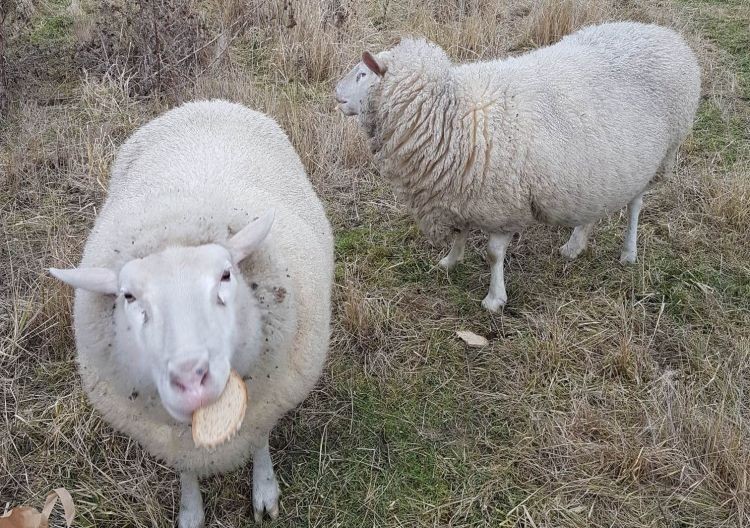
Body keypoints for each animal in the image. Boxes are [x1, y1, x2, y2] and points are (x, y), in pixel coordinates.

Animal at [50, 100, 334, 528]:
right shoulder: (170, 439)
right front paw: (190, 511)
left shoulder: (270, 399)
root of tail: (206, 102)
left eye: (226, 275)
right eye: (129, 296)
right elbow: (185, 471)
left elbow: (261, 440)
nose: (190, 379)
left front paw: (264, 490)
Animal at [334, 22, 700, 312]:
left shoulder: (501, 202)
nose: (335, 92)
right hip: (598, 170)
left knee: (636, 205)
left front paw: (494, 299)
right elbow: (460, 232)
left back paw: (628, 252)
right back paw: (574, 245)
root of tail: (667, 35)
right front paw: (450, 261)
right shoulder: (459, 191)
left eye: (362, 74)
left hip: (656, 158)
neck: (448, 111)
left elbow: (494, 254)